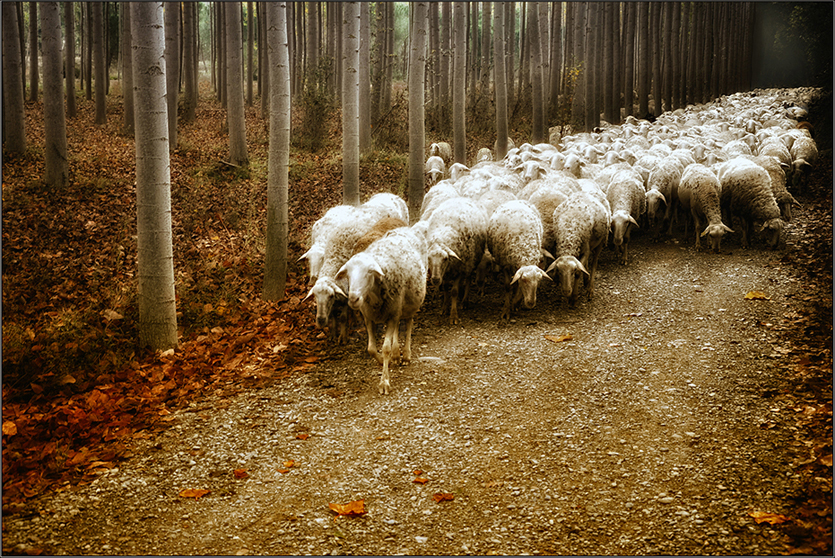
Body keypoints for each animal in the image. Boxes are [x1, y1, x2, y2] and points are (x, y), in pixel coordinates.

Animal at [334, 225, 428, 396]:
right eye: (348, 275)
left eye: (369, 272)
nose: (353, 299)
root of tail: (407, 228)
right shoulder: (369, 317)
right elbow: (371, 349)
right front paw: (386, 361)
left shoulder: (391, 314)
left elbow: (385, 348)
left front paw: (384, 382)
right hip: (396, 308)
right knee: (398, 326)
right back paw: (397, 354)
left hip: (410, 302)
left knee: (408, 323)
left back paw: (406, 354)